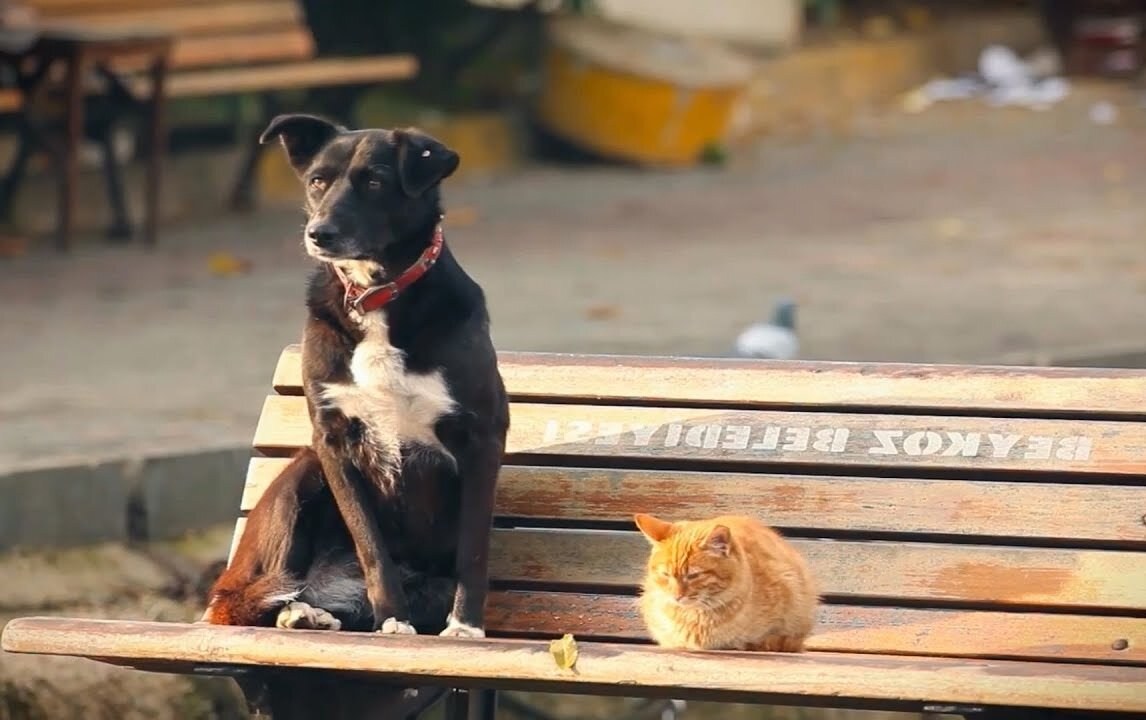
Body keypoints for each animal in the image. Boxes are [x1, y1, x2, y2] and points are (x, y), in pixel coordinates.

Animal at [206, 115, 511, 651]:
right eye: (317, 181)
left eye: (374, 182)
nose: (319, 233)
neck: (377, 294)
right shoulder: (333, 443)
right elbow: (372, 547)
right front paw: (392, 619)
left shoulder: (481, 439)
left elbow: (473, 550)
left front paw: (466, 626)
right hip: (301, 474)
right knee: (249, 600)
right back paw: (300, 613)